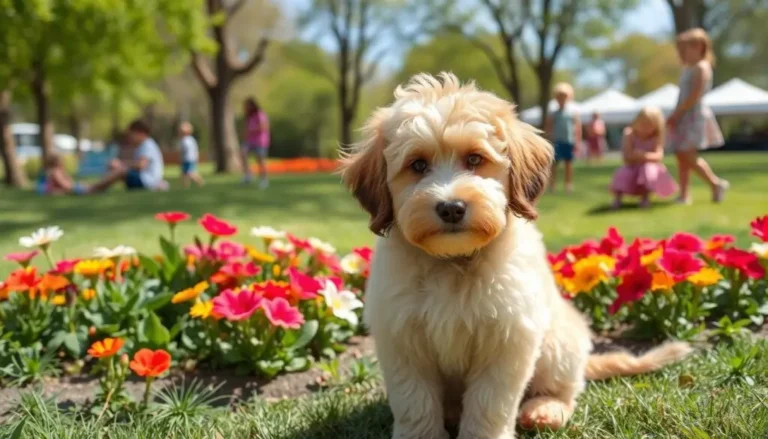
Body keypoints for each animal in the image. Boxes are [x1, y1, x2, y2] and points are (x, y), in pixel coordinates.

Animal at [342, 74, 688, 438]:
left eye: (475, 159)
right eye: (418, 165)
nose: (451, 208)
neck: (454, 262)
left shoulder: (508, 339)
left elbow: (489, 403)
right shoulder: (403, 340)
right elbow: (415, 403)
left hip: (558, 344)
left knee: (563, 390)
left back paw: (544, 410)